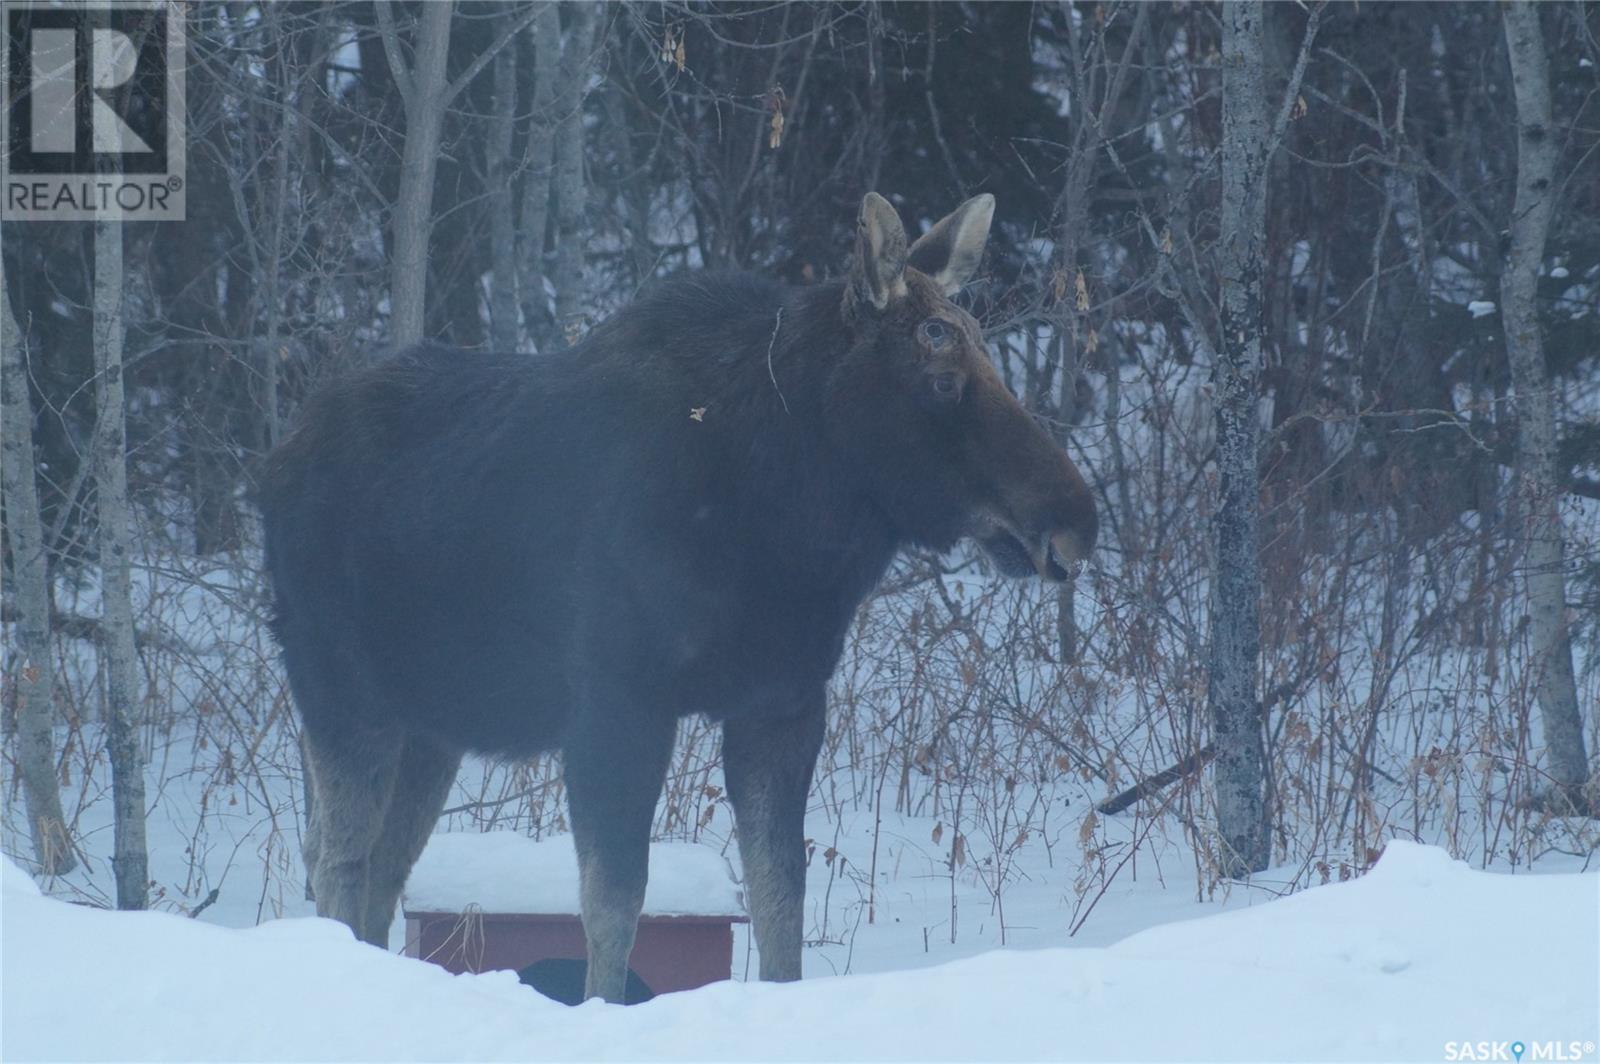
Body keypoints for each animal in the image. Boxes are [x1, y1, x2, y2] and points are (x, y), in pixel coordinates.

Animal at [256, 192, 1094, 1004]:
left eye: (990, 360)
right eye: (941, 379)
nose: (1075, 520)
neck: (792, 528)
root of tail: (278, 456)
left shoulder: (784, 701)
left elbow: (779, 898)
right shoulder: (619, 701)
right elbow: (614, 903)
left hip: (434, 722)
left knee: (381, 866)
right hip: (340, 686)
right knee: (338, 857)